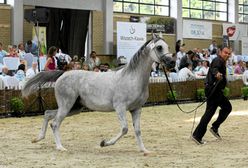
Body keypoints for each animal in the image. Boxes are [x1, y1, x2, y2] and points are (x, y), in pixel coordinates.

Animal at [22, 34, 175, 155]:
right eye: (159, 47)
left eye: (167, 46)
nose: (172, 63)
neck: (132, 78)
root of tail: (63, 73)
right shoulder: (120, 107)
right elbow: (125, 129)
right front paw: (104, 143)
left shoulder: (136, 109)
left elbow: (137, 130)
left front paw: (144, 150)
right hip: (66, 105)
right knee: (55, 123)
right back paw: (60, 147)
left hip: (74, 108)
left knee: (47, 113)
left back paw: (37, 138)